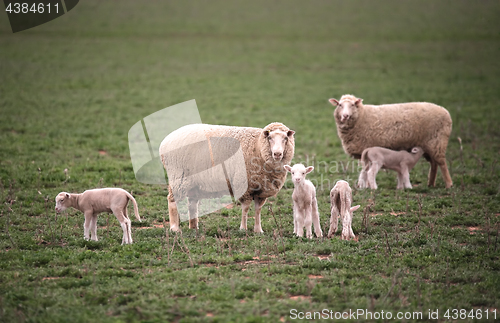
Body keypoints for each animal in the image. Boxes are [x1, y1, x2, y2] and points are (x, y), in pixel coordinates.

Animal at [159, 122, 292, 233]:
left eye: (285, 139)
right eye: (270, 138)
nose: (277, 154)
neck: (258, 146)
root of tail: (165, 141)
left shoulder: (261, 190)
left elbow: (258, 210)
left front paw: (258, 230)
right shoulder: (244, 184)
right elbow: (245, 208)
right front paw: (243, 228)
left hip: (193, 181)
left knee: (192, 203)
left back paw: (194, 227)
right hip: (178, 176)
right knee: (172, 200)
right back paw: (174, 228)